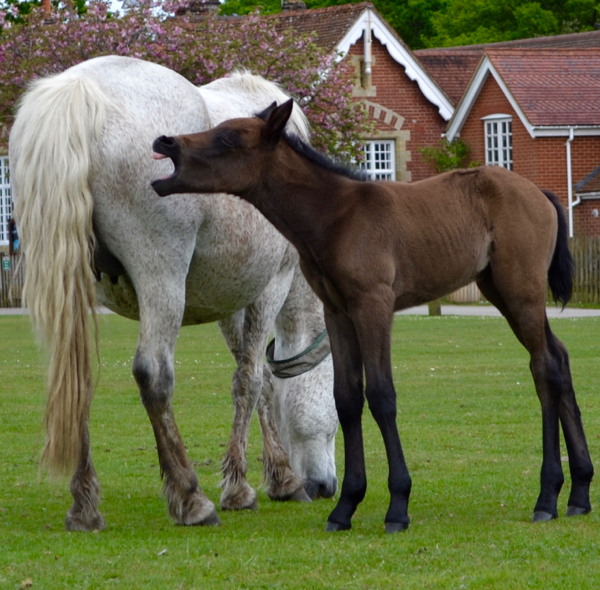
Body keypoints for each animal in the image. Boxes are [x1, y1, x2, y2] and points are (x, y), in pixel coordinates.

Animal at [9, 56, 338, 536]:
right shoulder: (271, 286)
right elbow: (252, 380)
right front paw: (252, 486)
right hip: (160, 276)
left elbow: (253, 377)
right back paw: (190, 498)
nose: (327, 486)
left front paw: (273, 474)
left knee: (76, 376)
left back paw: (85, 506)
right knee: (153, 374)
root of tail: (81, 89)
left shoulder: (228, 302)